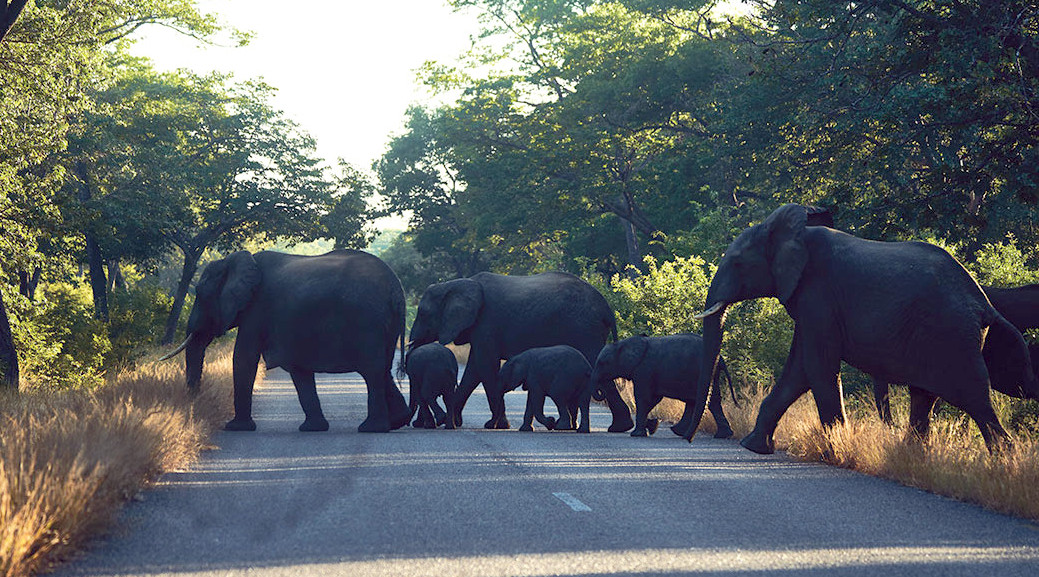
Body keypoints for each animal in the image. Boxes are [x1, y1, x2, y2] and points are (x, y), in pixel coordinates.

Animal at [162, 249, 411, 433]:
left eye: (200, 293)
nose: (193, 405)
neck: (235, 261)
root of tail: (396, 289)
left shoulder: (257, 308)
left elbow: (244, 357)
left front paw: (235, 428)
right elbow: (298, 369)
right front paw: (313, 429)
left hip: (367, 322)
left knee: (372, 372)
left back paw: (372, 429)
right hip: (384, 327)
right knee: (382, 370)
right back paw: (396, 422)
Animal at [408, 271, 634, 432]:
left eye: (423, 313)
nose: (416, 423)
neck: (456, 283)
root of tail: (607, 309)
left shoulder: (487, 323)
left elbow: (484, 366)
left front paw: (497, 425)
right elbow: (474, 370)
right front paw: (455, 421)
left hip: (583, 329)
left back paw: (618, 427)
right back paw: (619, 427)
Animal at [591, 334, 737, 439]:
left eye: (603, 363)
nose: (600, 391)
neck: (624, 343)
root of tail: (721, 358)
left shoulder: (644, 370)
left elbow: (643, 398)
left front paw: (638, 434)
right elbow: (653, 399)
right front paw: (652, 426)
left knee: (706, 400)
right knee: (702, 400)